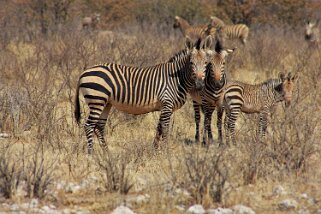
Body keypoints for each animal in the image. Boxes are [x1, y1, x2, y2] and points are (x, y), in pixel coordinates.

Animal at [74, 36, 212, 154]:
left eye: (206, 63)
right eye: (191, 63)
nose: (199, 85)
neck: (177, 78)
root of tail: (83, 72)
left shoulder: (164, 107)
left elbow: (159, 128)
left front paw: (154, 150)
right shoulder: (167, 104)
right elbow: (165, 128)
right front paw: (166, 151)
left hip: (106, 102)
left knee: (99, 127)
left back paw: (106, 153)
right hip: (97, 100)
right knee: (89, 125)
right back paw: (91, 153)